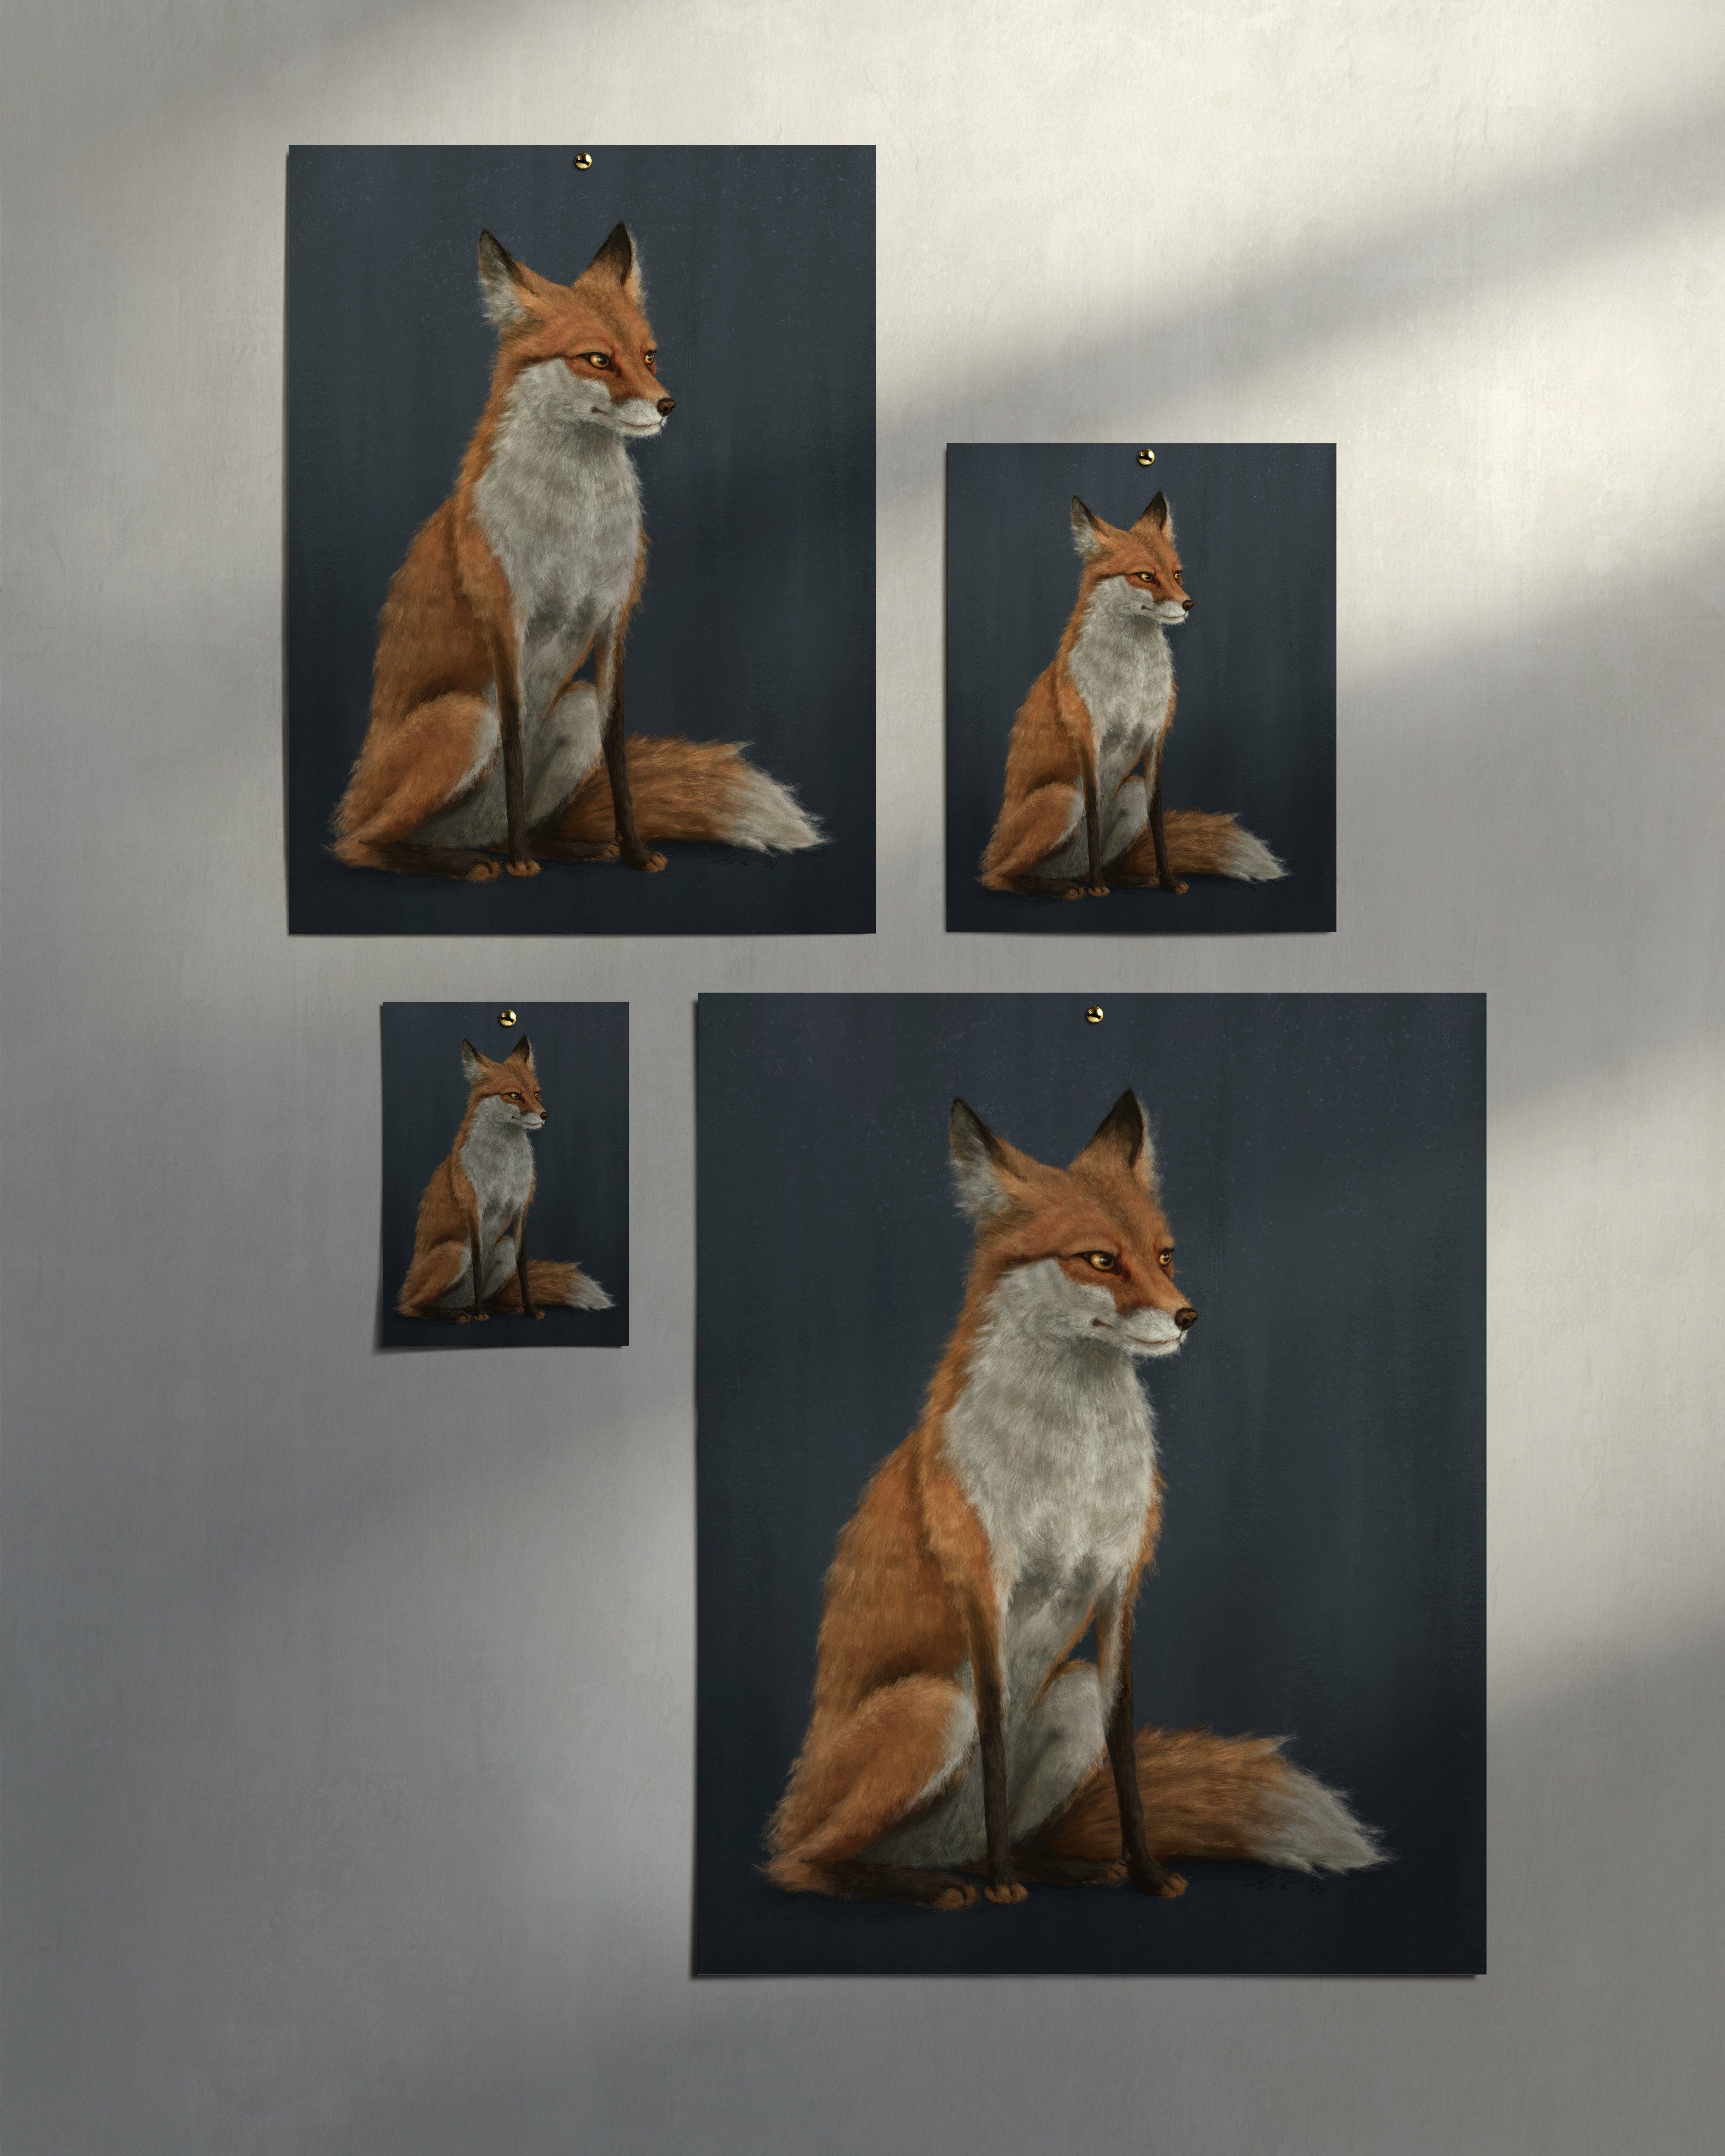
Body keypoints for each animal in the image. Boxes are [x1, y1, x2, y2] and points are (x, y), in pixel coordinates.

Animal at [334, 221, 822, 883]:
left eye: (649, 356)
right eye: (597, 359)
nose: (667, 405)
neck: (575, 525)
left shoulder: (613, 621)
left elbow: (617, 754)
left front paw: (634, 851)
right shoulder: (505, 622)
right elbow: (514, 745)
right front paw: (522, 864)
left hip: (574, 708)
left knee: (514, 821)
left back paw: (560, 847)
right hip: (464, 720)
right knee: (360, 844)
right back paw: (469, 861)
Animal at [396, 1036, 612, 1322]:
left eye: (537, 1094)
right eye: (514, 1095)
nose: (545, 1115)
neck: (505, 1168)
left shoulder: (521, 1210)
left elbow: (523, 1269)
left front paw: (530, 1310)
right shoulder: (474, 1210)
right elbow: (477, 1264)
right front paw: (480, 1316)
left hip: (504, 1248)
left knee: (481, 1297)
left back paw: (500, 1308)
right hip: (456, 1252)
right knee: (411, 1307)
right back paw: (458, 1314)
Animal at [766, 1091, 1382, 1910]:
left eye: (1165, 1255)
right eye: (1099, 1259)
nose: (1187, 1317)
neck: (1073, 1469)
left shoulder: (1119, 1586)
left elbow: (1126, 1753)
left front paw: (1145, 1872)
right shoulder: (984, 1587)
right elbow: (995, 1742)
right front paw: (1004, 1889)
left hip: (1071, 1694)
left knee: (987, 1835)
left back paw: (1054, 1867)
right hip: (932, 1709)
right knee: (801, 1863)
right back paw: (937, 1884)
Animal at [980, 492, 1285, 899]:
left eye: (1177, 574)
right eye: (1145, 576)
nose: (1188, 604)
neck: (1132, 680)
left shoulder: (1155, 739)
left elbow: (1158, 823)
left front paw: (1168, 881)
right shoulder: (1088, 739)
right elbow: (1093, 817)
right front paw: (1097, 889)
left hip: (1131, 792)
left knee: (1095, 862)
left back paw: (1125, 878)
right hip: (1062, 799)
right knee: (997, 876)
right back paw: (1066, 887)